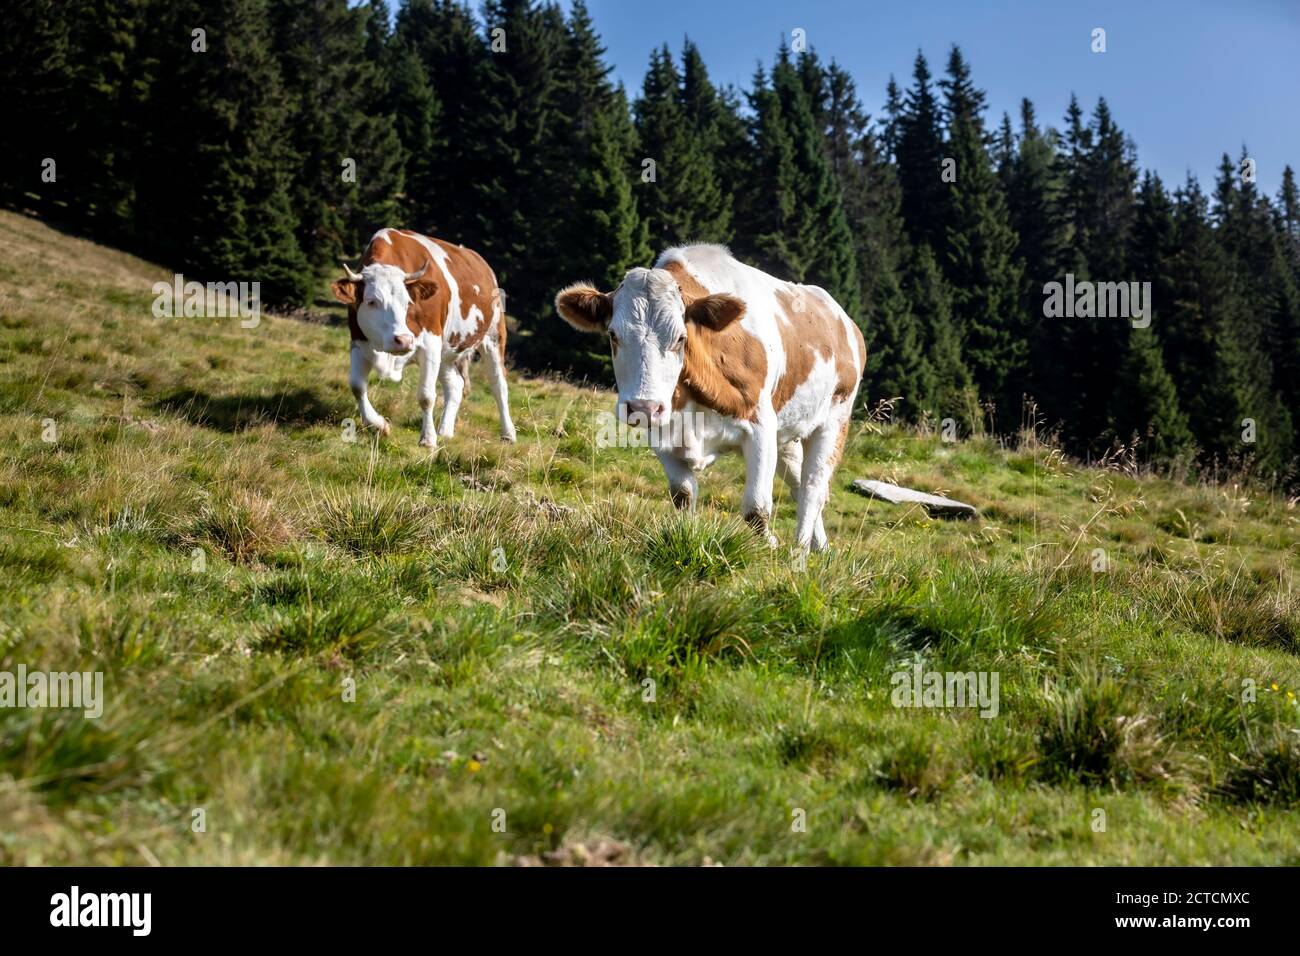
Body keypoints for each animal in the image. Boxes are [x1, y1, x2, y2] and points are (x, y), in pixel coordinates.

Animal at [331, 228, 516, 448]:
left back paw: (508, 433)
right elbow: (357, 386)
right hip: (447, 351)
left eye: (408, 301)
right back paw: (445, 431)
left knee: (499, 385)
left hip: (493, 335)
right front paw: (379, 425)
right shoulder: (358, 342)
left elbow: (426, 396)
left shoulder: (430, 345)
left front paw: (427, 439)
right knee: (455, 386)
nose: (403, 340)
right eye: (371, 301)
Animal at [555, 244, 865, 552]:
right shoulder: (664, 430)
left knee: (813, 487)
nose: (643, 407)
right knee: (798, 482)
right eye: (613, 335)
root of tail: (844, 321)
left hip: (835, 418)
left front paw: (770, 547)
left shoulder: (761, 426)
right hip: (788, 431)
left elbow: (756, 509)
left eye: (681, 338)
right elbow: (683, 495)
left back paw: (799, 552)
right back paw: (820, 548)